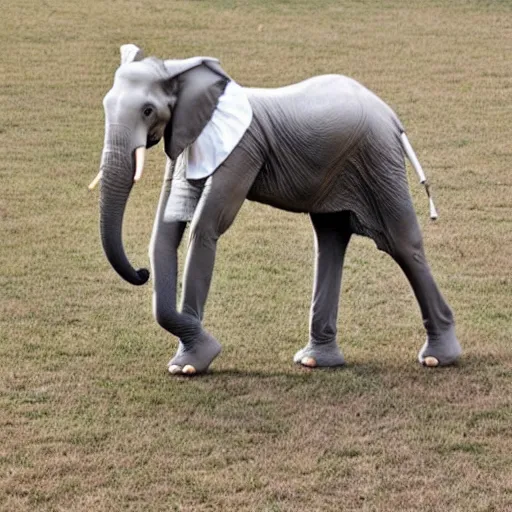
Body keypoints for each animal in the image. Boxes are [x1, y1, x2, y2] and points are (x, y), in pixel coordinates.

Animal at [90, 44, 462, 374]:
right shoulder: (186, 139)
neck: (183, 73)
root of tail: (392, 117)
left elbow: (204, 227)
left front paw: (188, 366)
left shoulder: (241, 150)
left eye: (148, 111)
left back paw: (437, 358)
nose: (141, 274)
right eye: (105, 105)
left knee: (400, 242)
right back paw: (315, 360)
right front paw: (189, 358)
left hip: (378, 157)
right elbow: (165, 231)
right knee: (330, 239)